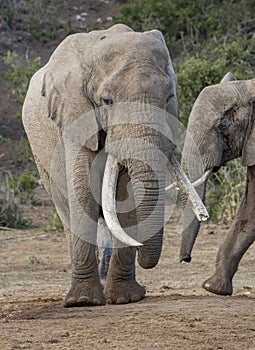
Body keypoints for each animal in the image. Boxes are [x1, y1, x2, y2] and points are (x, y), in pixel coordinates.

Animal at [22, 23, 205, 306]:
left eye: (169, 97)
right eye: (107, 101)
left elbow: (125, 199)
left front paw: (125, 298)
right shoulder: (75, 118)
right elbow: (83, 194)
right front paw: (83, 301)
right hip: (41, 157)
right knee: (66, 210)